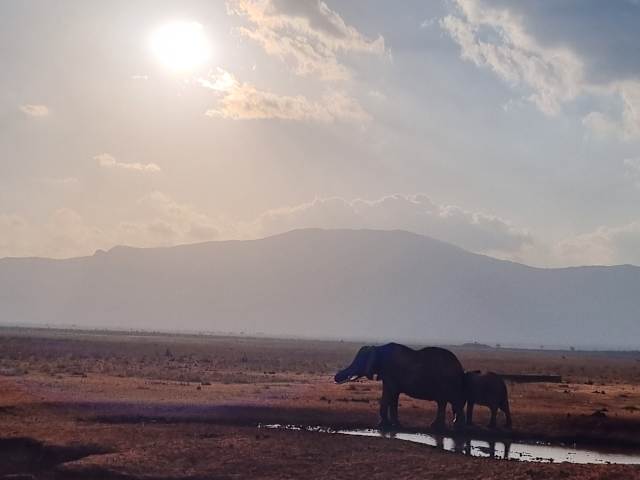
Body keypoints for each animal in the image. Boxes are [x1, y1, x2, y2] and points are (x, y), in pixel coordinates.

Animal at [334, 343, 466, 430]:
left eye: (359, 362)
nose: (336, 377)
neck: (378, 348)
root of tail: (460, 367)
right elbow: (393, 396)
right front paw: (394, 425)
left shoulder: (390, 372)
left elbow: (389, 394)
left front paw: (382, 426)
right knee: (443, 402)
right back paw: (438, 427)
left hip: (449, 382)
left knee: (453, 402)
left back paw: (456, 429)